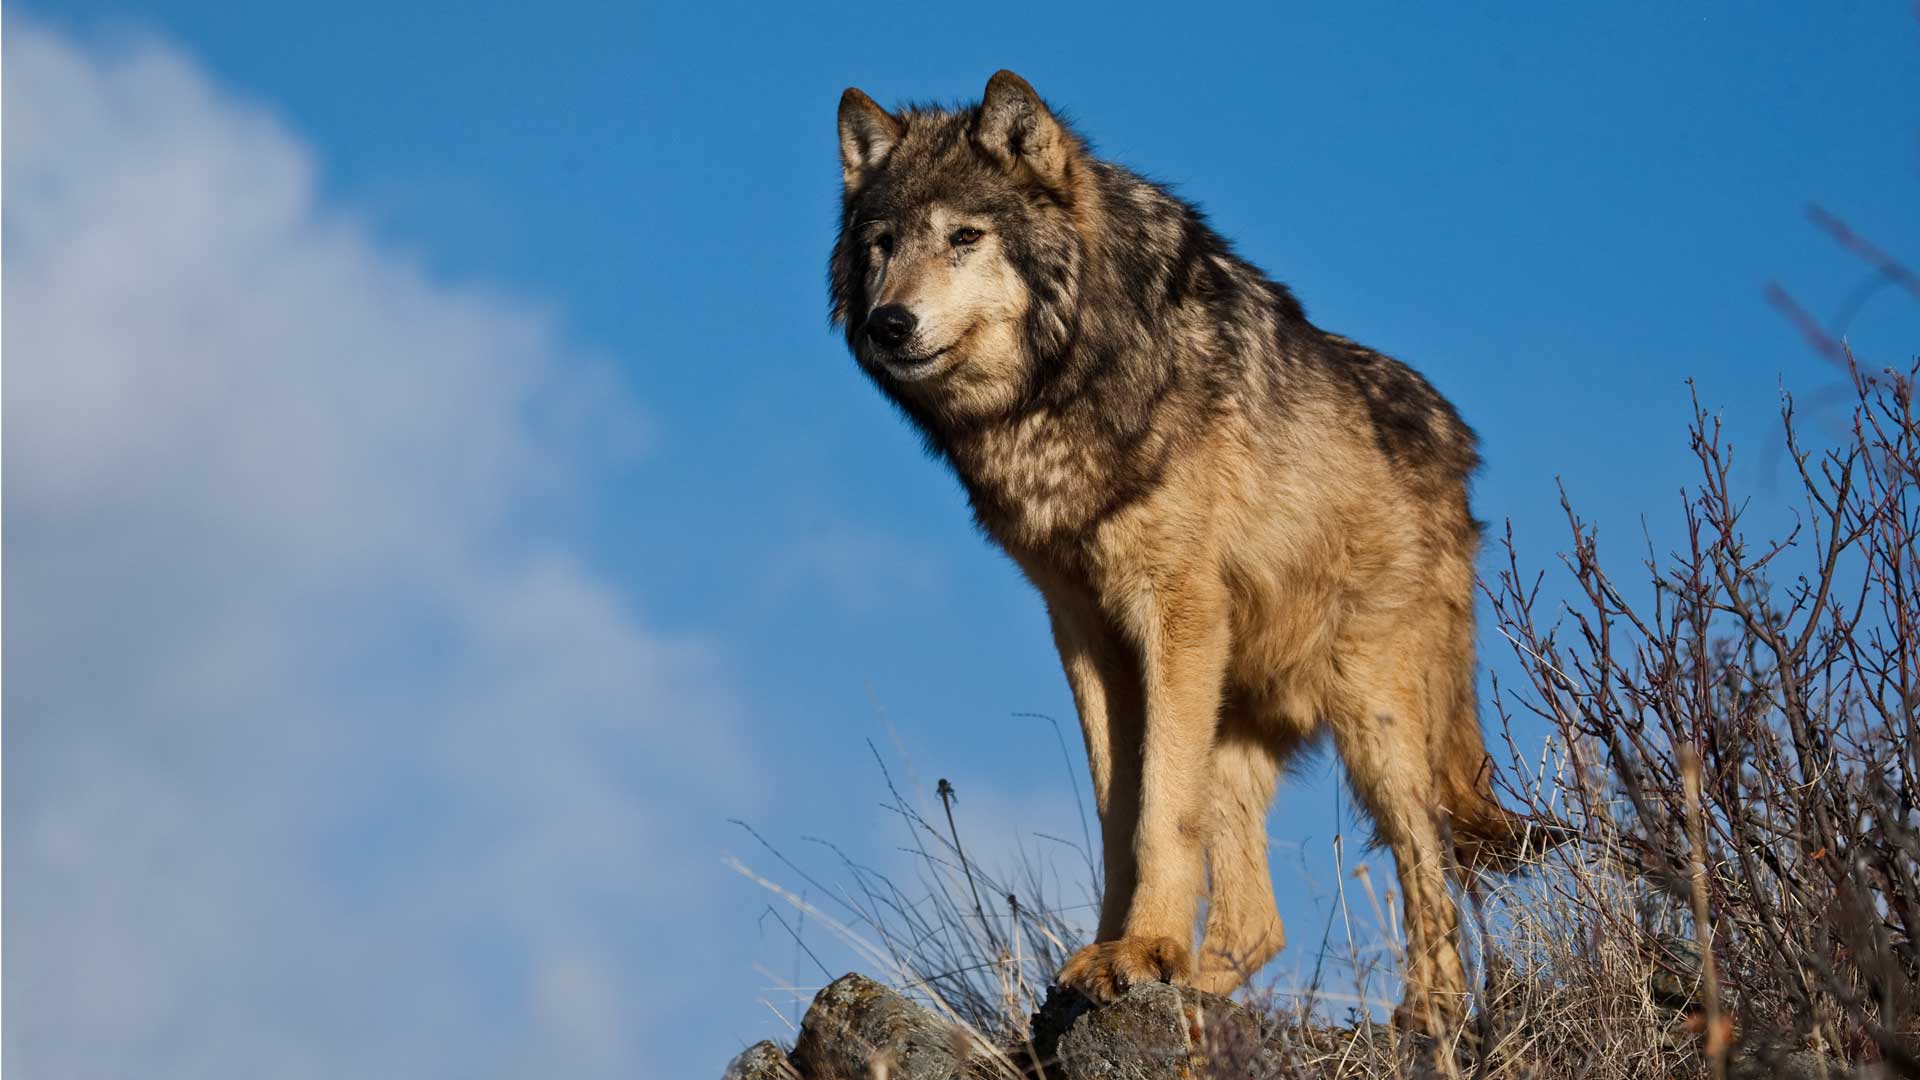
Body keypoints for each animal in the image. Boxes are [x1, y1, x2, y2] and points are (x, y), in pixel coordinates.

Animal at [830, 70, 1533, 1025]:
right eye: (881, 245)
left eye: (964, 238)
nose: (889, 323)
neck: (1066, 387)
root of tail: (1462, 453)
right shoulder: (1087, 632)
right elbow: (1117, 812)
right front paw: (1114, 953)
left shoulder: (1175, 610)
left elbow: (1160, 808)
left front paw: (1145, 951)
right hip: (1235, 716)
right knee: (1259, 922)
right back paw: (1201, 996)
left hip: (1373, 713)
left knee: (1431, 869)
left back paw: (1427, 1013)